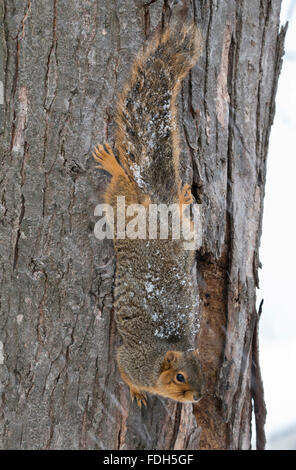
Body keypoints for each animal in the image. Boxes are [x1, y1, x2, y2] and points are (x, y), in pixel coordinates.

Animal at [93, 15, 205, 404]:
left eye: (205, 374)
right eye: (180, 377)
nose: (198, 397)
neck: (158, 361)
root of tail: (155, 209)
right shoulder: (132, 359)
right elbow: (125, 372)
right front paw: (137, 393)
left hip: (182, 233)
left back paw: (183, 199)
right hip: (120, 207)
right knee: (123, 183)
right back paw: (113, 165)